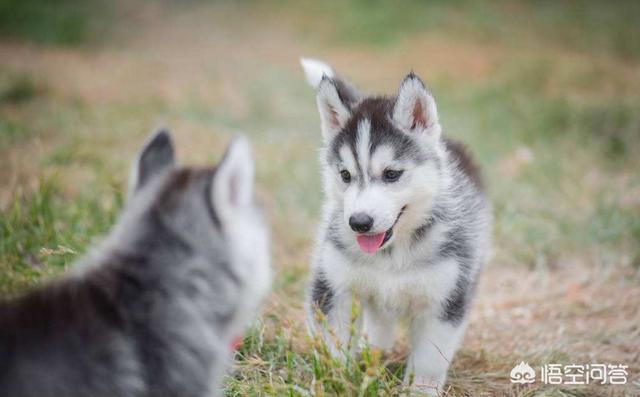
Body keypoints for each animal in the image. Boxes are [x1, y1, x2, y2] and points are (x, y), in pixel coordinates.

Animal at [300, 58, 490, 392]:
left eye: (391, 174)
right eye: (345, 175)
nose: (359, 223)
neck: (393, 252)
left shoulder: (445, 299)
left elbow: (429, 361)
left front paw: (421, 391)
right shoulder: (333, 286)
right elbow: (332, 346)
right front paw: (335, 382)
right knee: (379, 325)